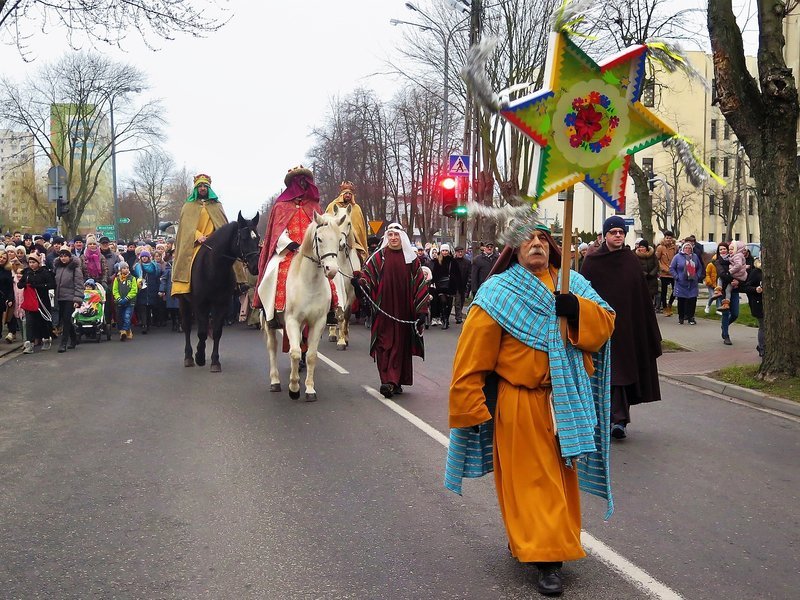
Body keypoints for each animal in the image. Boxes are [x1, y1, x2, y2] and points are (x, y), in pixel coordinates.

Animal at [178, 211, 260, 370]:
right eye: (244, 238)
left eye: (258, 237)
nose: (256, 266)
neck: (212, 267)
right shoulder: (200, 304)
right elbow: (202, 332)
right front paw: (200, 356)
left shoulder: (222, 304)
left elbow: (216, 332)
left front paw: (215, 361)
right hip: (183, 301)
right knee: (187, 326)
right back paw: (188, 357)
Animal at [262, 209, 346, 400]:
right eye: (319, 239)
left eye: (338, 239)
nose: (332, 270)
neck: (309, 284)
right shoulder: (292, 320)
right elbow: (294, 352)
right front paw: (294, 388)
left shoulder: (318, 322)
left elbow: (311, 355)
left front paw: (309, 389)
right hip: (270, 321)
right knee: (272, 347)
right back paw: (275, 381)